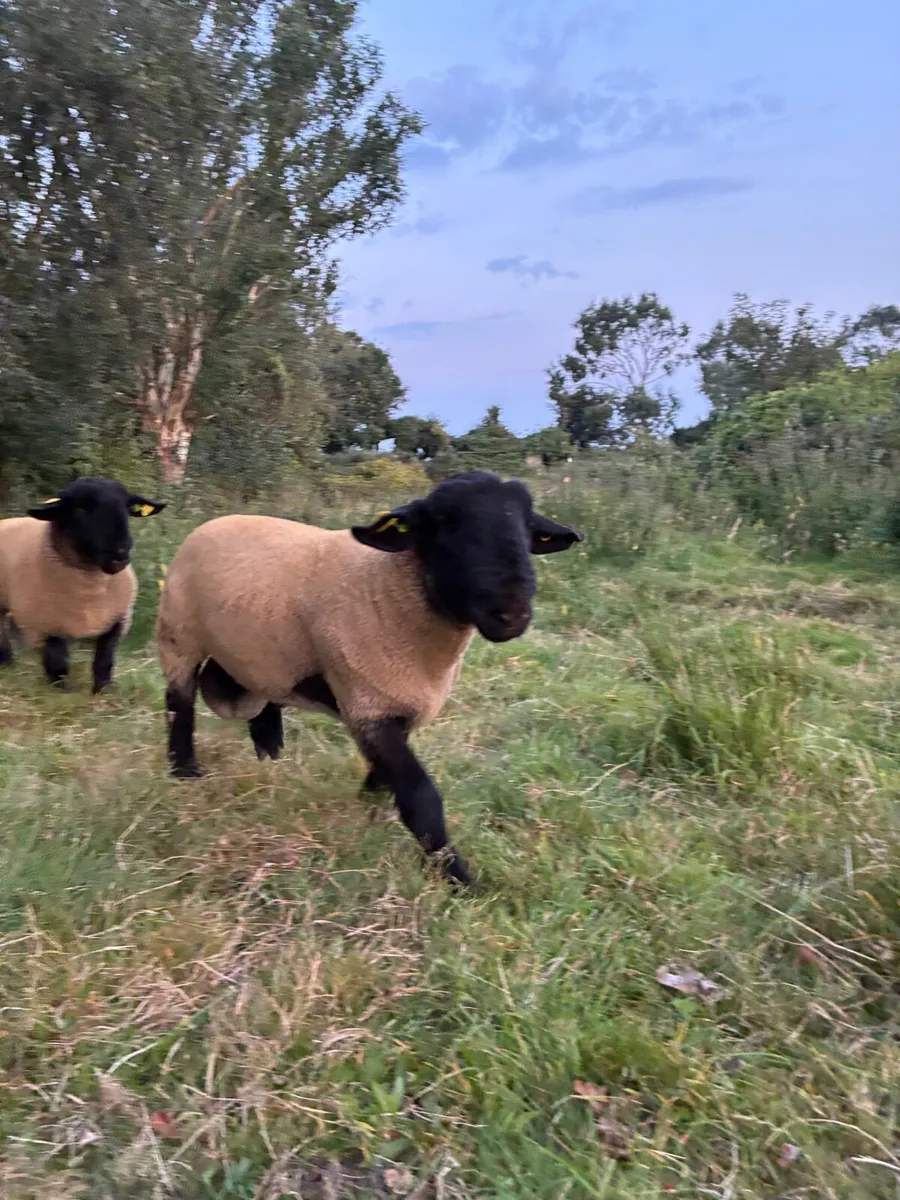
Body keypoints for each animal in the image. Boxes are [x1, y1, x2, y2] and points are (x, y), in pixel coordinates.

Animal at [0, 477, 166, 691]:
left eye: (127, 508)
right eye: (81, 509)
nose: (121, 553)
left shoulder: (119, 618)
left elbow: (105, 657)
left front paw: (103, 689)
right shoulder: (43, 622)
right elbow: (57, 658)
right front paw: (62, 688)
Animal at [155, 470, 583, 885]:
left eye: (528, 526)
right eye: (446, 521)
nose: (512, 612)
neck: (388, 587)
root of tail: (217, 520)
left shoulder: (396, 702)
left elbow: (388, 772)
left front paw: (370, 801)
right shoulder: (366, 702)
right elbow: (421, 796)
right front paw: (457, 877)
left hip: (261, 651)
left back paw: (271, 754)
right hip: (179, 636)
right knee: (179, 705)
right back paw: (185, 771)